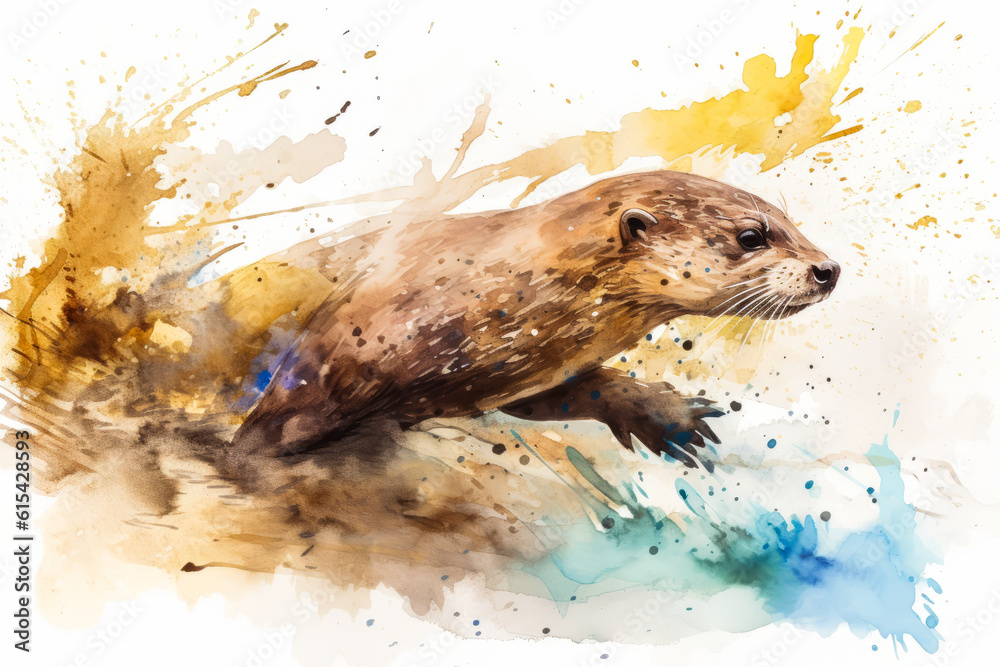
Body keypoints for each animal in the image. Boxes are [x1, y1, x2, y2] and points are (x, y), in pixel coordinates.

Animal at [230, 170, 839, 469]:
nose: (828, 268)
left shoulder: (514, 375)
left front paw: (663, 414)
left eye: (792, 221)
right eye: (752, 236)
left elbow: (575, 393)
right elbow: (267, 434)